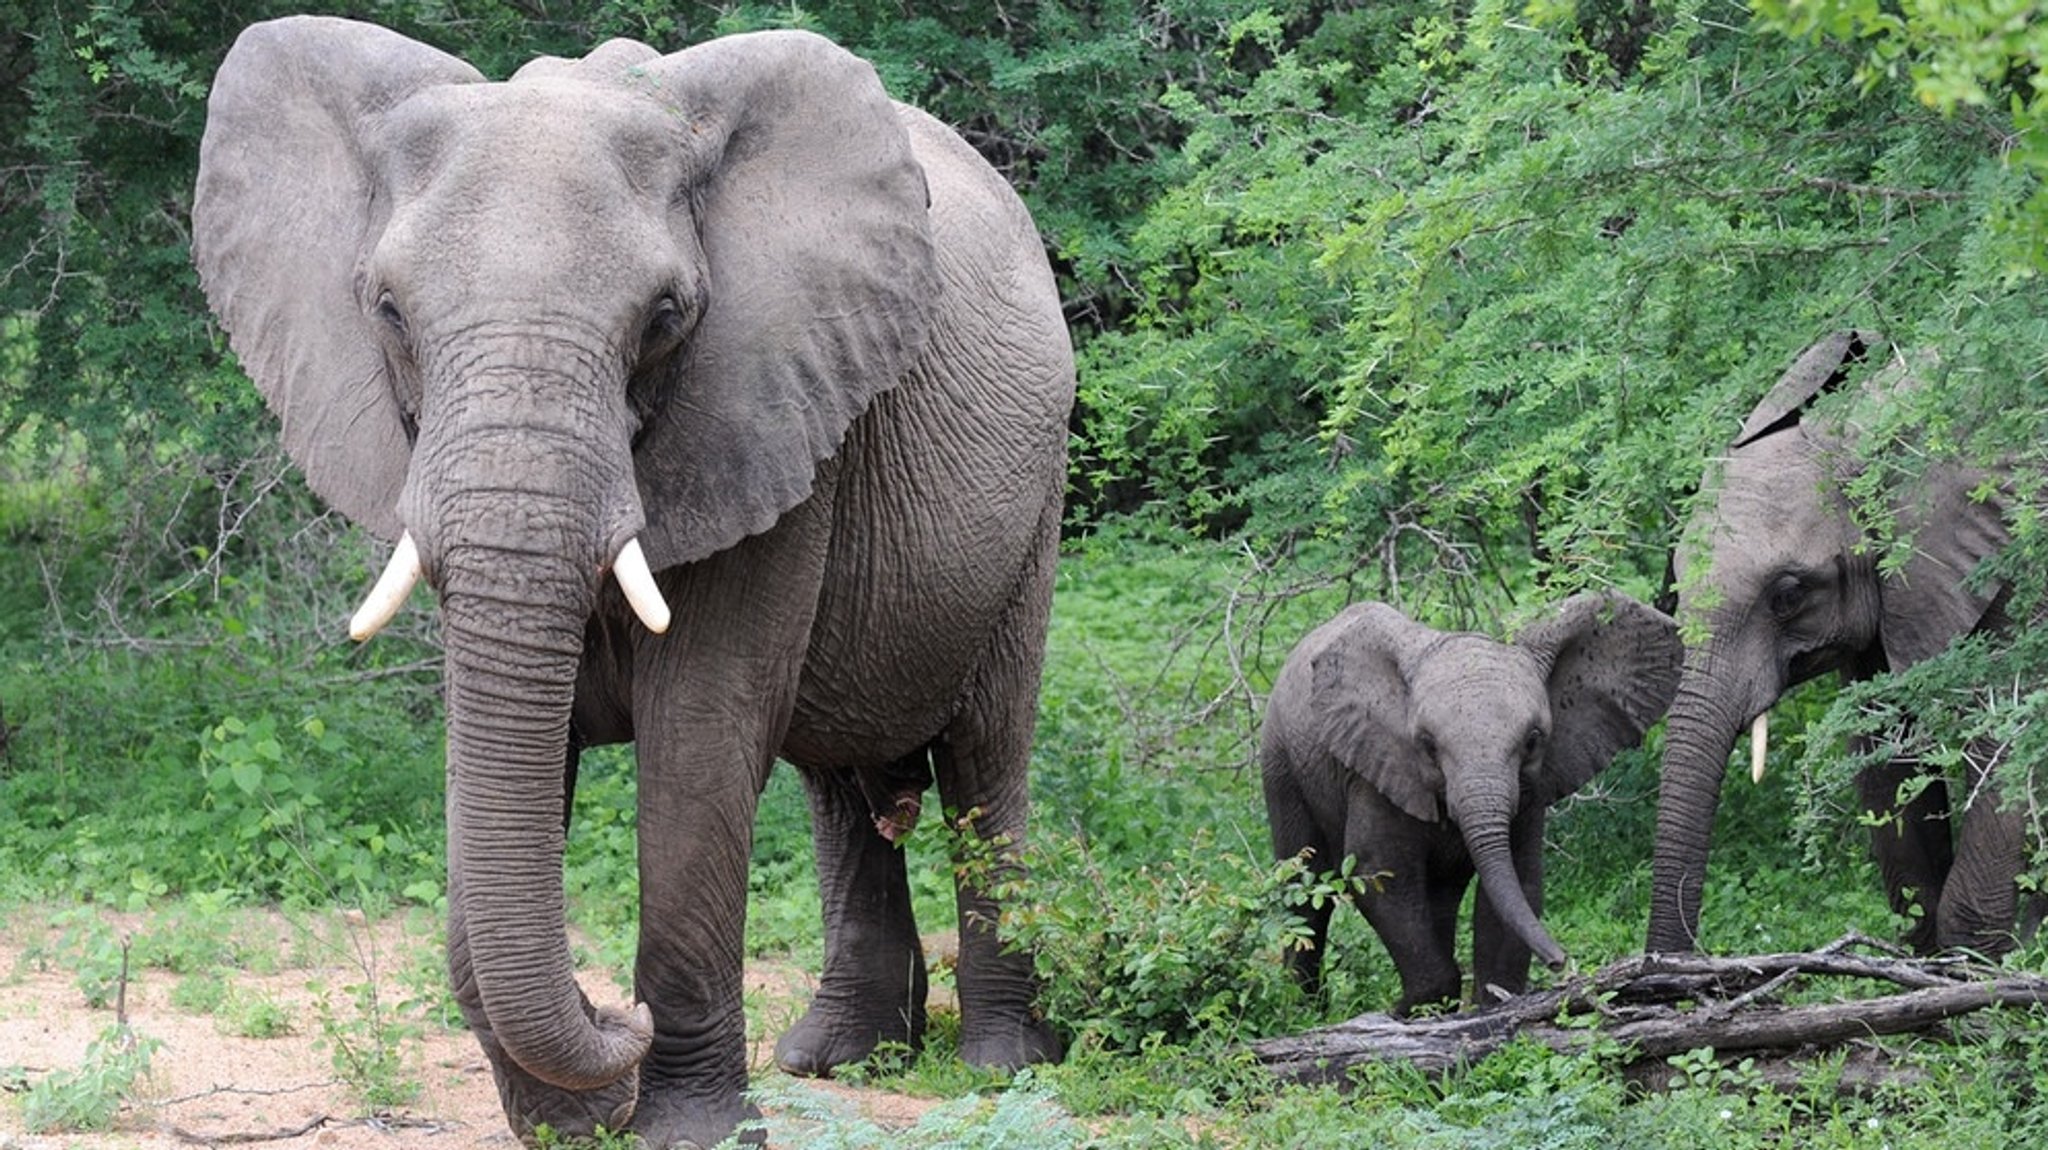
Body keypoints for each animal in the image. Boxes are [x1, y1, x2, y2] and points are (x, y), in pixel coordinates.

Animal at [192, 17, 1073, 1145]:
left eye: (663, 317)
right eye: (386, 310)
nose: (615, 1014)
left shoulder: (764, 407)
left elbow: (697, 746)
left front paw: (689, 1126)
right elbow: (492, 755)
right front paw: (567, 1123)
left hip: (1036, 495)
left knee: (983, 759)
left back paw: (1001, 1066)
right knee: (839, 786)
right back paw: (839, 1057)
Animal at [1261, 589, 1679, 1010]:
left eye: (1533, 740)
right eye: (1427, 745)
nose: (1560, 962)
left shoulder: (1530, 791)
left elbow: (1518, 883)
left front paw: (1492, 1006)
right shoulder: (1375, 771)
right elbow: (1379, 874)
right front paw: (1409, 1010)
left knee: (1440, 897)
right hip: (1281, 763)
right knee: (1305, 888)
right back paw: (1302, 1007)